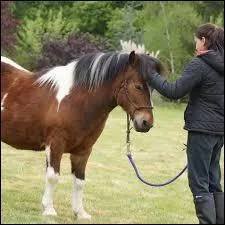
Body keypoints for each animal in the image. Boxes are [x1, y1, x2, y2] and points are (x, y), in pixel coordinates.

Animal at [0, 51, 164, 220]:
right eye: (137, 86)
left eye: (152, 89)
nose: (146, 122)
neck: (76, 101)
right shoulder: (55, 145)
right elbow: (53, 176)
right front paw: (49, 209)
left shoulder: (83, 150)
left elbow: (79, 181)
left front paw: (80, 212)